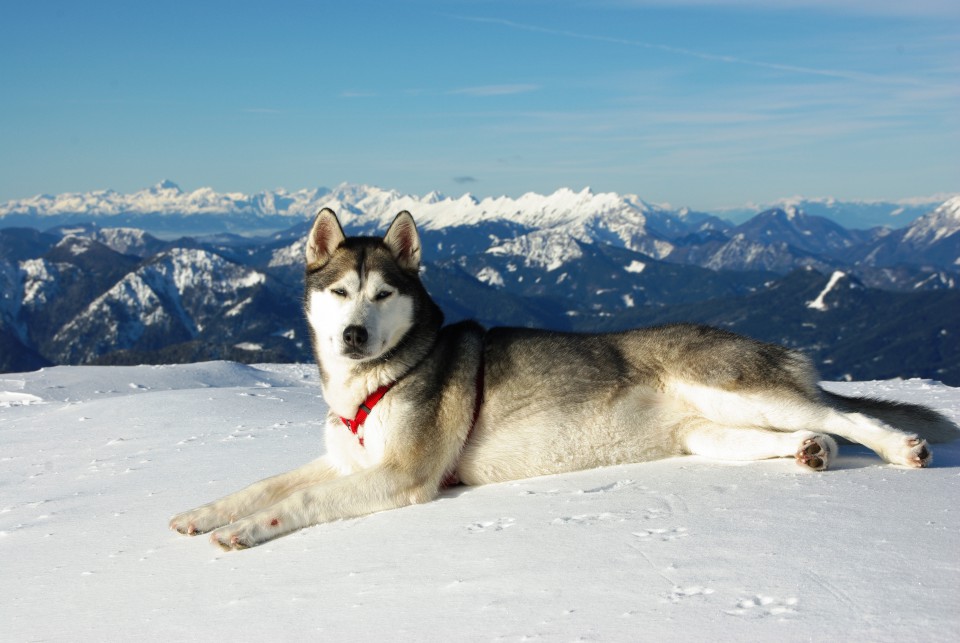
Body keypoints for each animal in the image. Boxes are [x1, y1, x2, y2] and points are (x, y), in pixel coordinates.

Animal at [169, 209, 956, 552]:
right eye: (338, 292)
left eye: (383, 294)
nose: (353, 336)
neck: (377, 382)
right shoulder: (348, 457)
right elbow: (264, 483)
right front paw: (201, 512)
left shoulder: (403, 475)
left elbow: (297, 502)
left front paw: (243, 532)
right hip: (711, 433)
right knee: (807, 431)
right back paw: (810, 452)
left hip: (735, 385)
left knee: (846, 415)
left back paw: (901, 448)